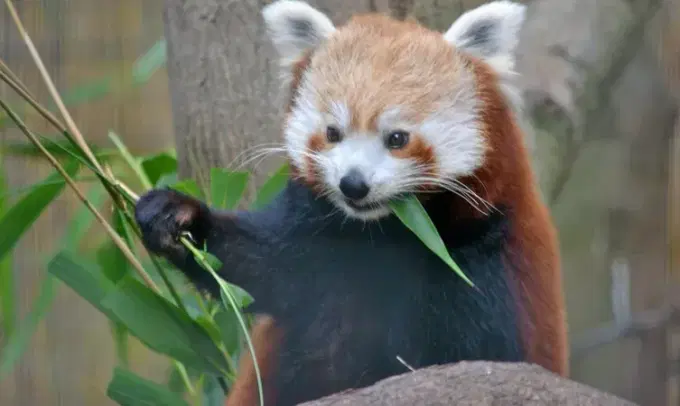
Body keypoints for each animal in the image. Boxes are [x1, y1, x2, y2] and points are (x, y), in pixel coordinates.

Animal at [133, 1, 568, 404]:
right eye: (332, 133)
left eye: (397, 138)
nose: (352, 185)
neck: (385, 232)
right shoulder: (320, 246)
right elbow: (258, 263)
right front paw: (178, 217)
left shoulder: (482, 258)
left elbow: (479, 360)